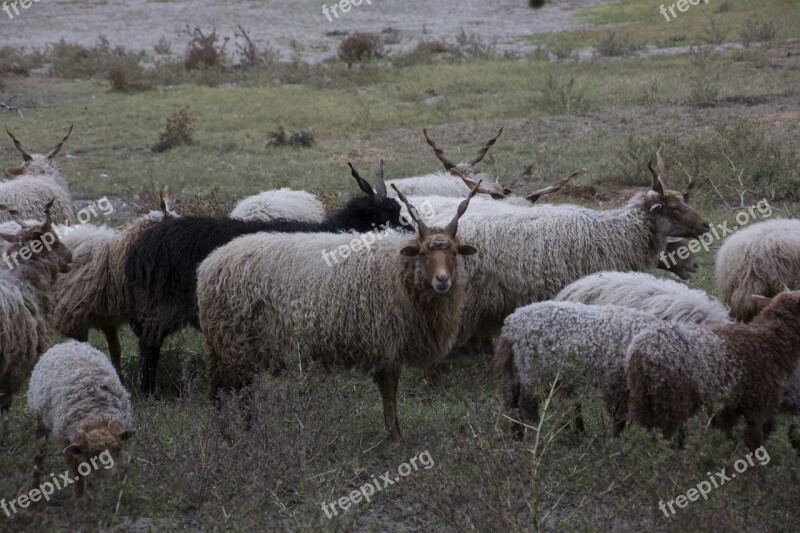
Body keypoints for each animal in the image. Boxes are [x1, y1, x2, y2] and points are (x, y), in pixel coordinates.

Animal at [26, 338, 133, 496]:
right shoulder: (66, 444)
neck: (95, 414)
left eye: (118, 449)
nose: (113, 480)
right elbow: (77, 475)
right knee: (39, 454)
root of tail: (68, 343)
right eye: (92, 457)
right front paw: (79, 498)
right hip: (39, 421)